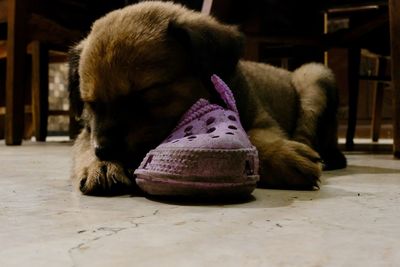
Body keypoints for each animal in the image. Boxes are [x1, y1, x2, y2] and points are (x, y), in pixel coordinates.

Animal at [68, 0, 344, 197]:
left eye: (146, 93)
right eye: (90, 104)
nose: (105, 151)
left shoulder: (263, 121)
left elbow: (256, 138)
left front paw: (283, 155)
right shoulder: (87, 131)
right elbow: (83, 145)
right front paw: (101, 166)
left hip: (313, 76)